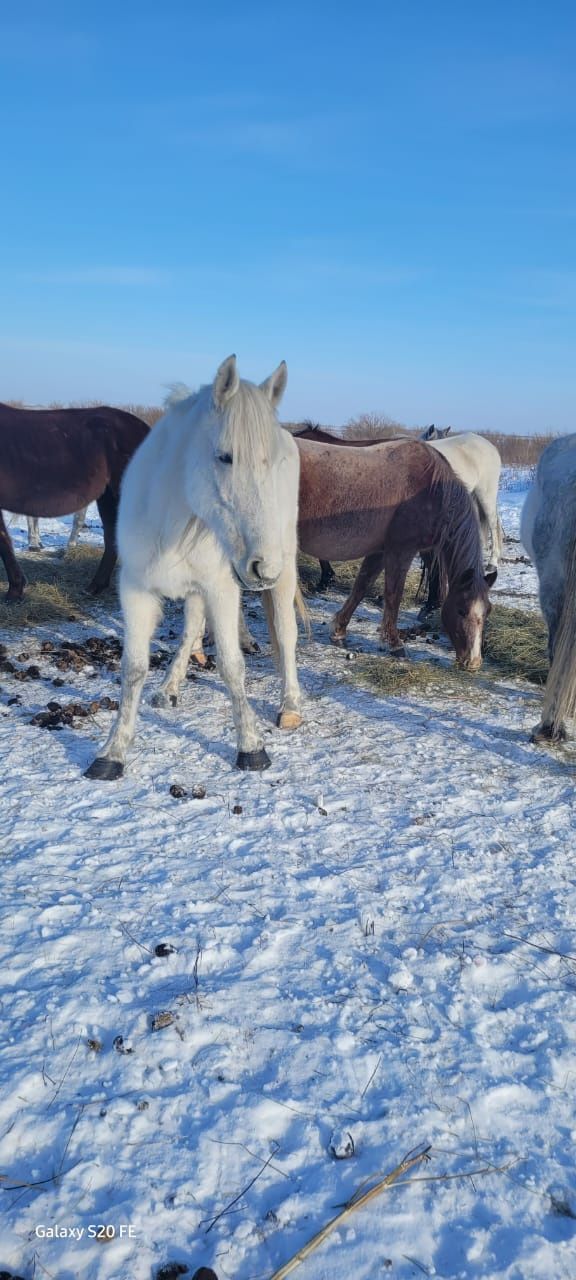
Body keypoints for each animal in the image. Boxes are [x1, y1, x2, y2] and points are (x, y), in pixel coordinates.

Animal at [86, 355, 302, 783]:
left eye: (272, 463)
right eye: (224, 456)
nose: (262, 567)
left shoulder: (221, 588)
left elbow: (233, 667)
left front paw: (251, 747)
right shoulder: (135, 591)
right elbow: (133, 668)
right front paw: (112, 753)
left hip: (282, 572)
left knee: (286, 635)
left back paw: (290, 706)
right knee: (191, 630)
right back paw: (170, 686)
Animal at [294, 435, 496, 670]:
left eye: (488, 611)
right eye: (462, 610)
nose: (473, 662)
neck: (431, 489)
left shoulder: (379, 551)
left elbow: (361, 587)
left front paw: (339, 630)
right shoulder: (401, 551)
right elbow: (393, 595)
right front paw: (394, 644)